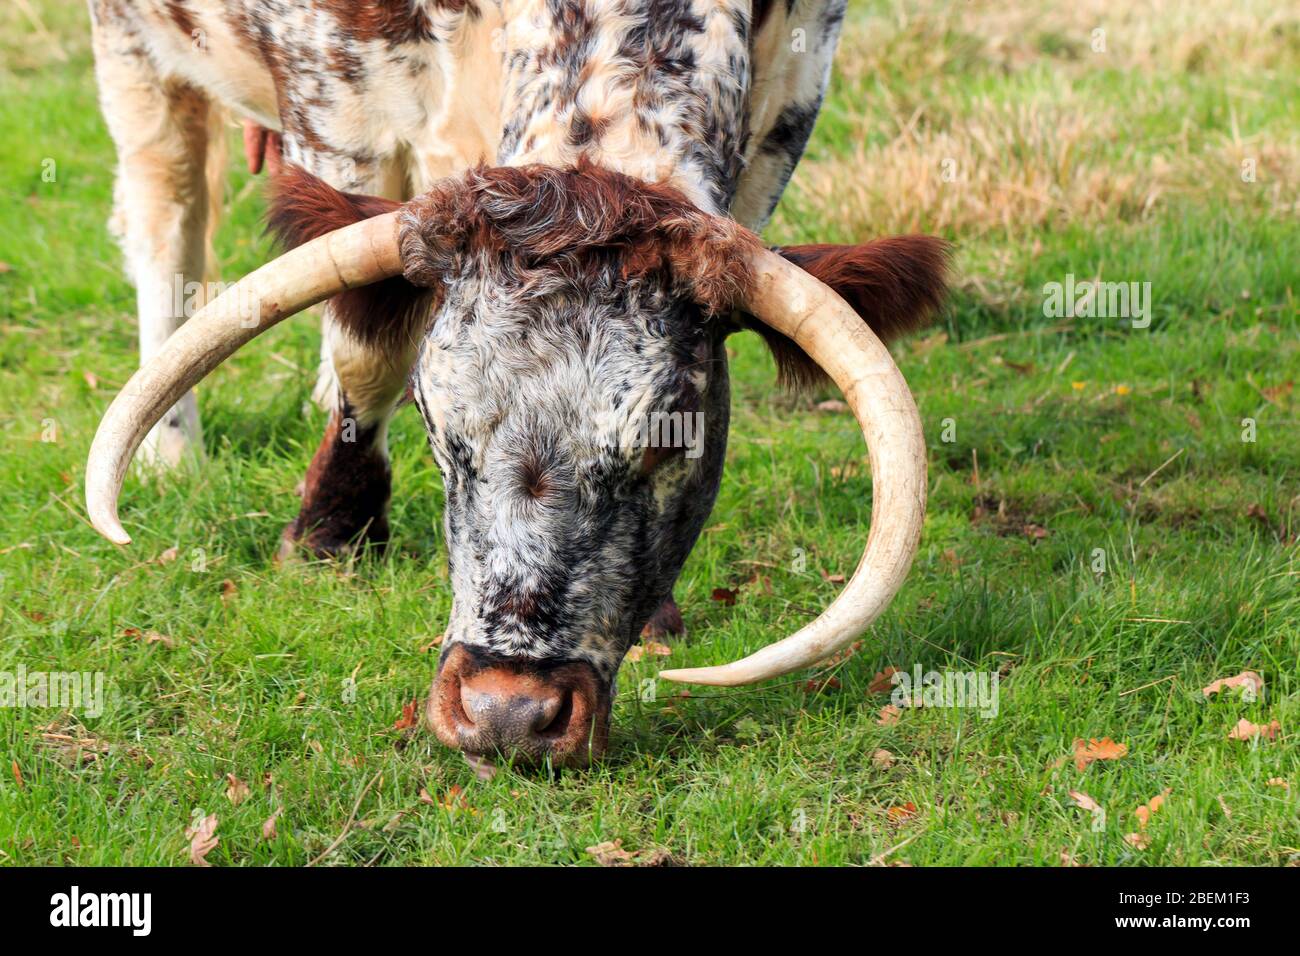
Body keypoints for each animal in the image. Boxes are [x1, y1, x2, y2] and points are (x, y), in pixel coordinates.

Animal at [86, 0, 951, 764]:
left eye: (671, 435)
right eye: (440, 429)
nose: (507, 712)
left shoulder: (785, 110)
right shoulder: (335, 105)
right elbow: (367, 352)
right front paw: (331, 530)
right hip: (133, 57)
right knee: (166, 221)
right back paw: (174, 451)